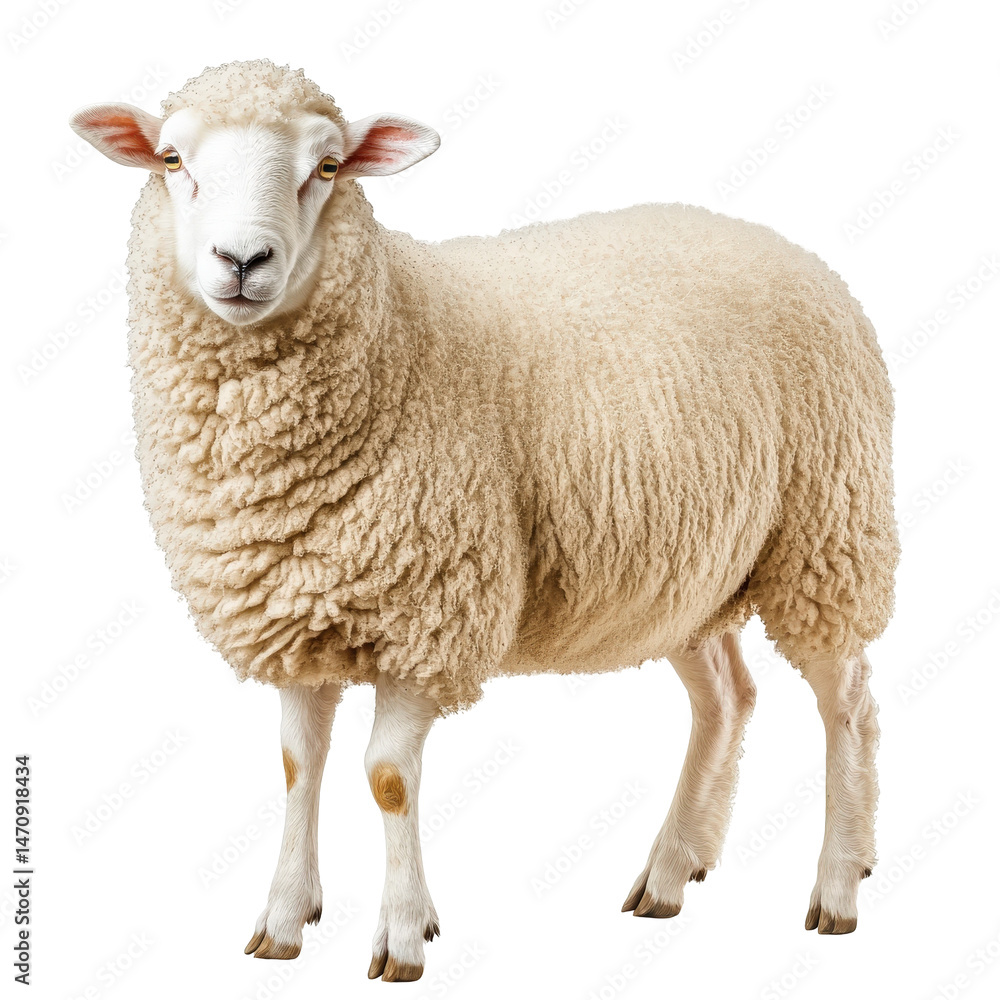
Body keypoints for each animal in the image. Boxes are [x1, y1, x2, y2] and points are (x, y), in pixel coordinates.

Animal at [70, 59, 899, 983]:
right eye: (172, 159)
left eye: (328, 167)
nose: (243, 259)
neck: (396, 331)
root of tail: (794, 250)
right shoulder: (295, 612)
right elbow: (296, 766)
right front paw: (284, 919)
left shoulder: (429, 617)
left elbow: (386, 777)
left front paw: (402, 935)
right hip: (691, 570)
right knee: (727, 698)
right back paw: (671, 871)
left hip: (827, 535)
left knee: (848, 706)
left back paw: (838, 886)